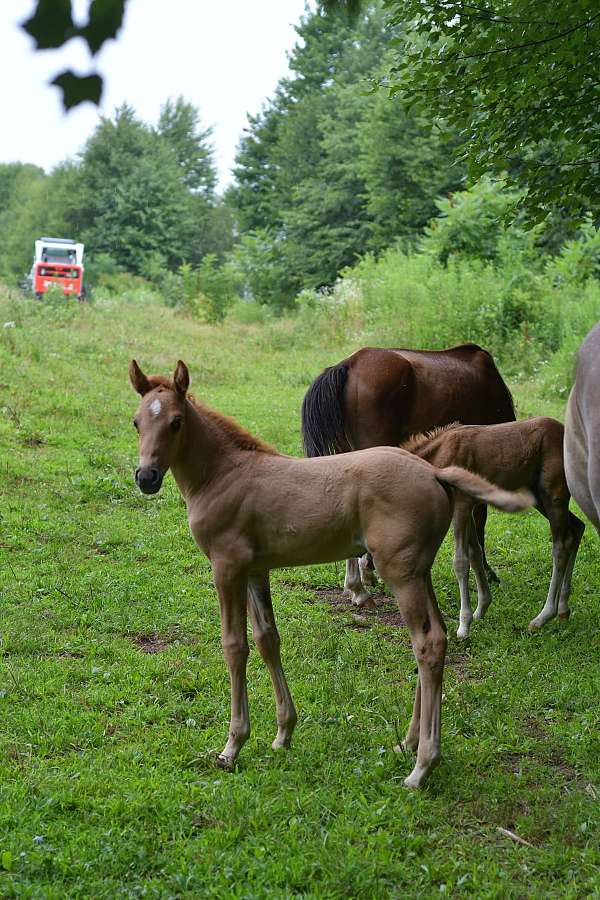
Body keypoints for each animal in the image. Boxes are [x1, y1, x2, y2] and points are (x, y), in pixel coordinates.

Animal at [403, 419, 585, 638]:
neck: (438, 457)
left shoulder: (461, 505)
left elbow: (461, 561)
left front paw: (464, 625)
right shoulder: (470, 506)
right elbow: (475, 553)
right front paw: (481, 608)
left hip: (553, 496)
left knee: (561, 546)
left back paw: (543, 617)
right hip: (540, 498)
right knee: (577, 529)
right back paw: (563, 608)